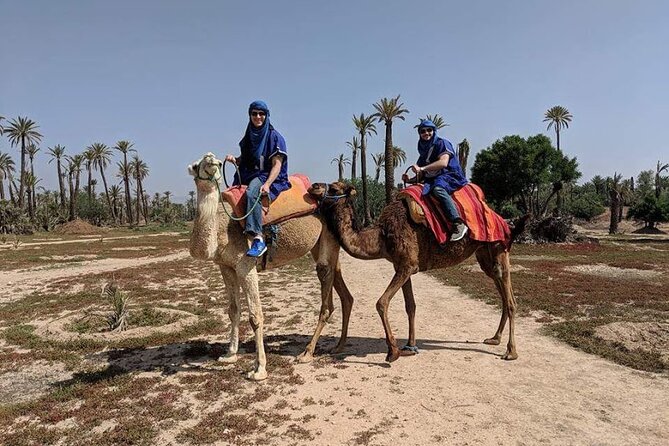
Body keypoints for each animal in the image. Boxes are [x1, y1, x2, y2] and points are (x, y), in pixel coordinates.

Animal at [188, 153, 354, 380]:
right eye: (196, 165)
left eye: (216, 162)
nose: (212, 159)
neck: (222, 226)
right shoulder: (225, 267)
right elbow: (233, 310)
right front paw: (229, 355)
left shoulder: (245, 265)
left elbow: (255, 316)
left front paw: (259, 369)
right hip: (321, 244)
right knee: (342, 287)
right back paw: (339, 346)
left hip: (328, 239)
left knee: (325, 282)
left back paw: (307, 353)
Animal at [309, 182, 527, 363]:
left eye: (334, 188)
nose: (313, 186)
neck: (382, 236)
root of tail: (505, 223)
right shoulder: (401, 265)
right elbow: (410, 306)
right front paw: (409, 346)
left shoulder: (407, 265)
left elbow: (382, 302)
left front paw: (393, 351)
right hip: (484, 256)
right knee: (502, 293)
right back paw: (494, 338)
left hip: (498, 248)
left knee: (510, 300)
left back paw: (511, 352)